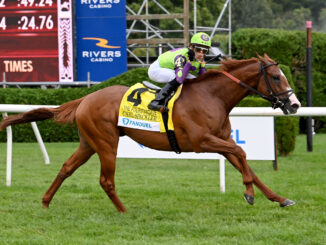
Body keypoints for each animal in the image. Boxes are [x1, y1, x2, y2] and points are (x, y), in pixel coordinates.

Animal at [0, 54, 300, 212]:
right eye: (276, 77)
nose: (295, 104)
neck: (212, 96)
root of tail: (85, 98)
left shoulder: (221, 140)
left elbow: (246, 163)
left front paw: (278, 198)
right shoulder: (203, 141)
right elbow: (242, 152)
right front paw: (249, 193)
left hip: (88, 143)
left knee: (66, 168)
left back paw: (45, 201)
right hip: (106, 143)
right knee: (106, 180)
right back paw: (123, 211)